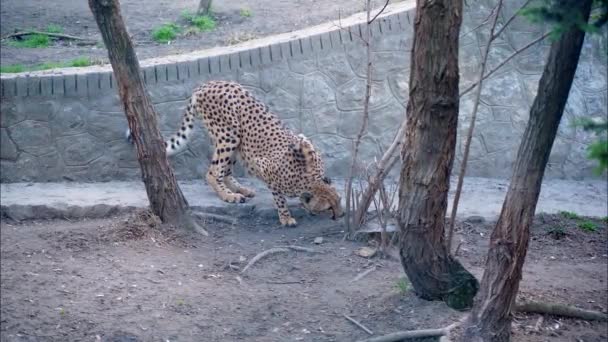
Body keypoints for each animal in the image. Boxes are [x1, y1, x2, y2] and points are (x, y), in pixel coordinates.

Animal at [126, 81, 344, 227]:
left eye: (339, 201)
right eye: (328, 207)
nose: (341, 215)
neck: (307, 178)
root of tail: (206, 84)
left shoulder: (303, 142)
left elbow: (303, 143)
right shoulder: (265, 167)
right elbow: (278, 195)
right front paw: (286, 216)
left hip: (232, 139)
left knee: (226, 170)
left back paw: (241, 190)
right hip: (229, 135)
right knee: (213, 172)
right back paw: (229, 196)